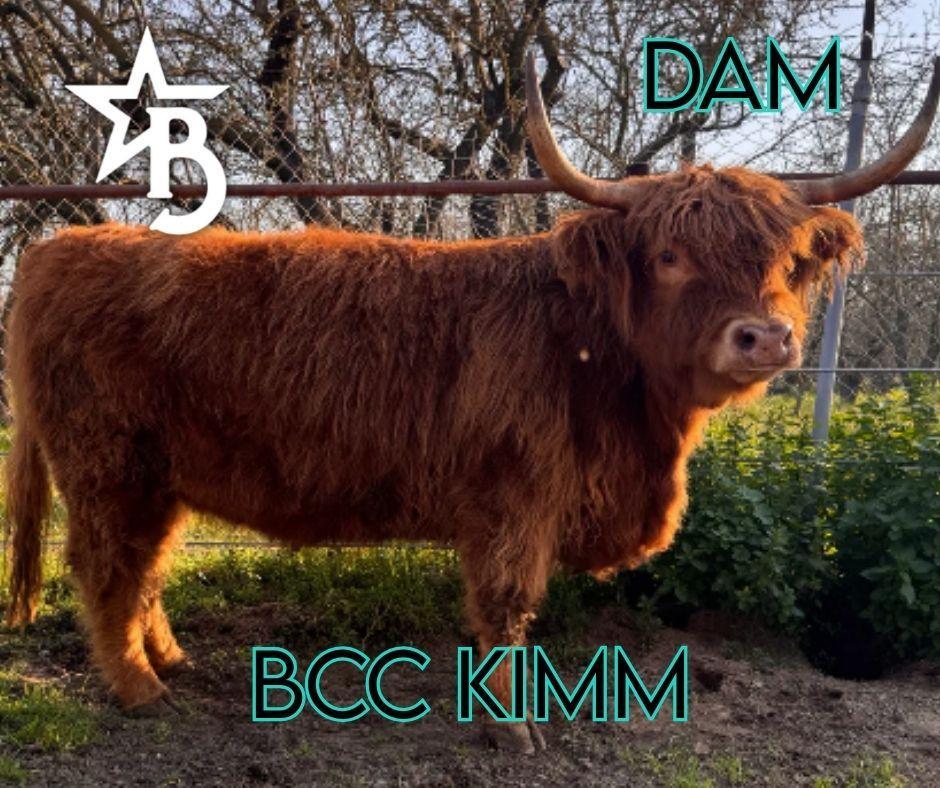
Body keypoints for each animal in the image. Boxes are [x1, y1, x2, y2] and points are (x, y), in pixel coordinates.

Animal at [4, 53, 938, 752]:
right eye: (670, 256)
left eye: (786, 261)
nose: (764, 338)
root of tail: (63, 244)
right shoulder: (515, 496)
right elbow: (506, 604)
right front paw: (512, 728)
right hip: (108, 463)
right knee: (108, 566)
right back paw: (140, 689)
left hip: (161, 474)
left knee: (148, 567)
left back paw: (173, 662)